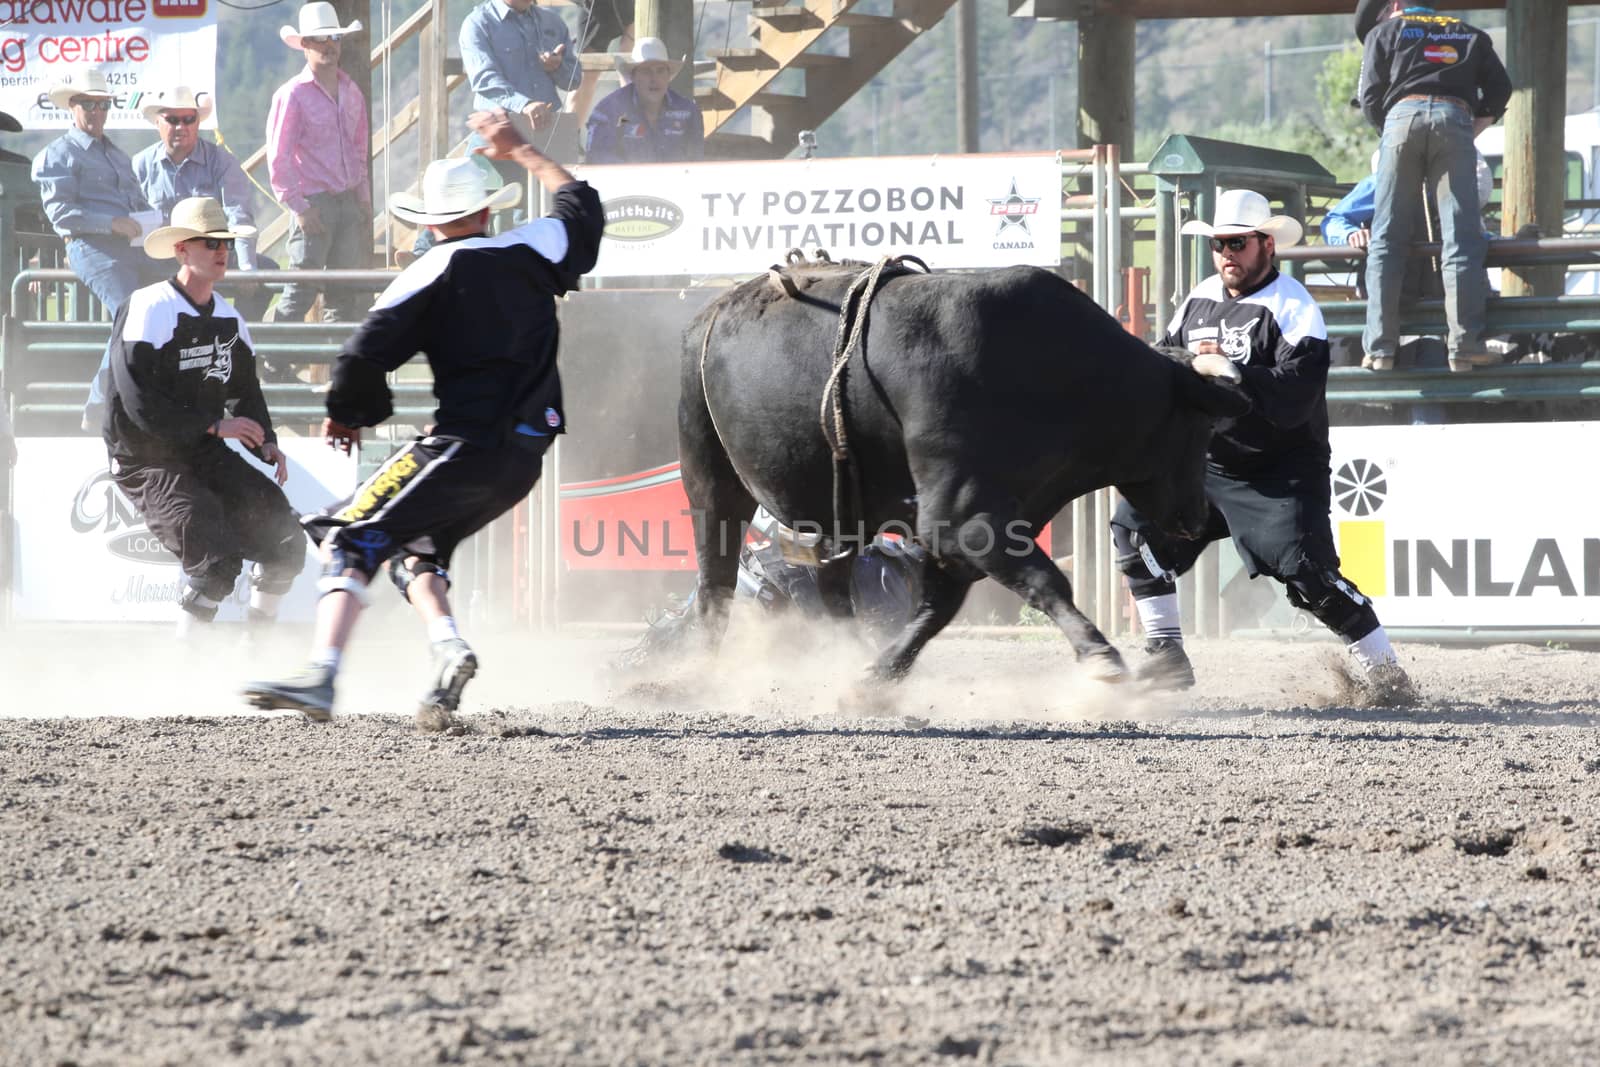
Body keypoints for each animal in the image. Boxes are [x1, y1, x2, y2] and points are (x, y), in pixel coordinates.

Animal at [675, 262, 1248, 687]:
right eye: (1201, 429)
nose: (1198, 518)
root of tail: (711, 311)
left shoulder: (975, 526)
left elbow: (937, 606)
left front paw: (878, 676)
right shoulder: (962, 517)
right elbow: (1045, 580)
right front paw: (1101, 656)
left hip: (841, 509)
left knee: (833, 586)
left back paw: (848, 652)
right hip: (710, 477)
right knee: (715, 578)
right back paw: (698, 667)